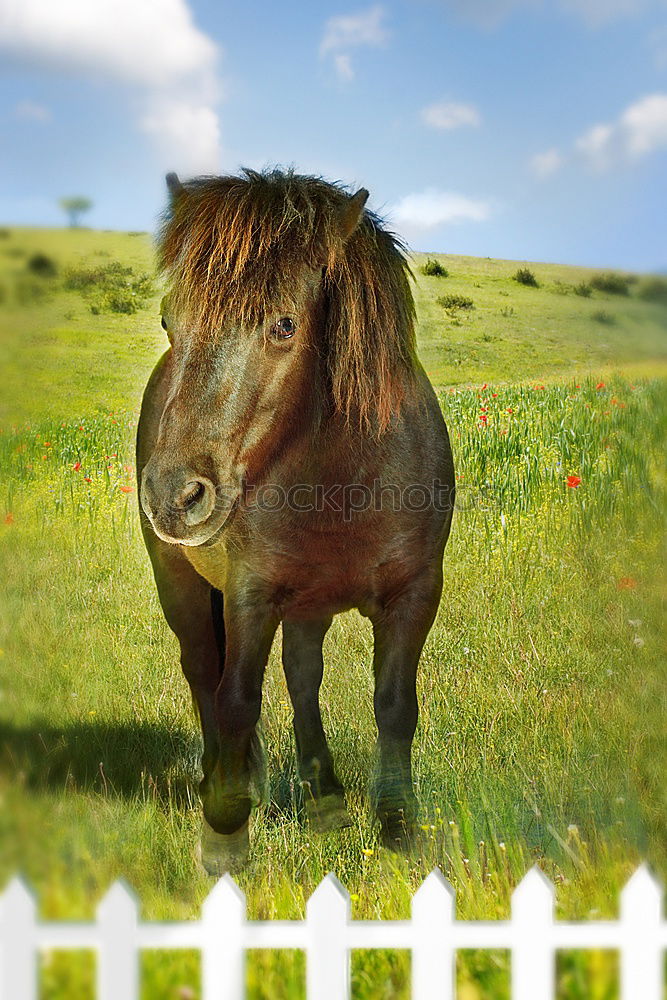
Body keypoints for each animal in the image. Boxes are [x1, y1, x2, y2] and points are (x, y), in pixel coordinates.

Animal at [138, 168, 456, 872]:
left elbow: (395, 705)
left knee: (302, 676)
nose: (174, 494)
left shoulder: (415, 593)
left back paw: (325, 798)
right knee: (202, 668)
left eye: (285, 324)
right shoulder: (250, 593)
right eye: (170, 318)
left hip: (309, 603)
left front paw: (398, 826)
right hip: (179, 579)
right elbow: (234, 698)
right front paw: (224, 832)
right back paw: (227, 780)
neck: (347, 482)